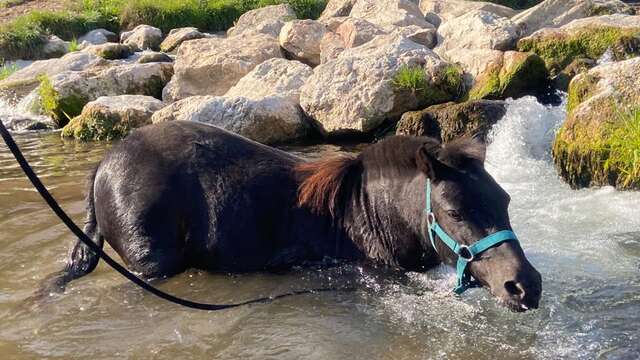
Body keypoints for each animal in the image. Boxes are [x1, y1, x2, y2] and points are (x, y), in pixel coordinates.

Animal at [41, 121, 540, 312]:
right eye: (454, 211)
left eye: (505, 201)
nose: (527, 287)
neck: (366, 209)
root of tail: (104, 164)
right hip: (154, 265)